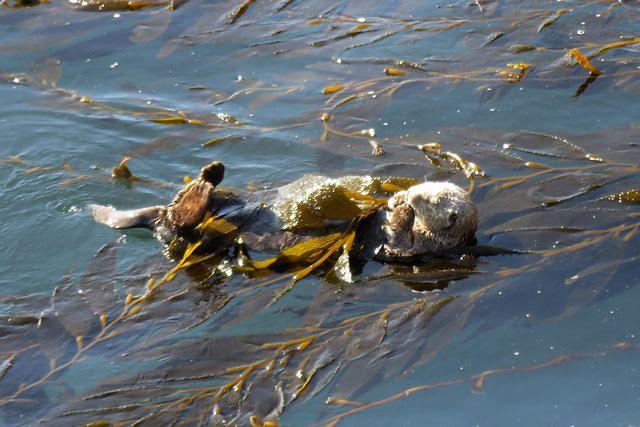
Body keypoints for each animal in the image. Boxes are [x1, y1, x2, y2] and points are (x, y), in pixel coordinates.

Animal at [89, 161, 477, 263]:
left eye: (430, 201)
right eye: (422, 189)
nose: (410, 195)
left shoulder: (411, 249)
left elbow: (398, 238)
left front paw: (402, 212)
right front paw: (394, 200)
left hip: (186, 230)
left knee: (184, 218)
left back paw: (205, 183)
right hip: (225, 204)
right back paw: (212, 174)